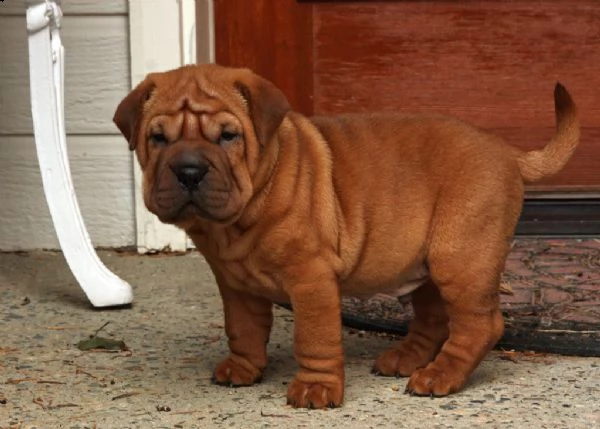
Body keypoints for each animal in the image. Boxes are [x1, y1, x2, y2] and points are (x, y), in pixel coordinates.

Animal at [112, 63, 576, 408]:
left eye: (228, 136)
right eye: (157, 138)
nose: (189, 170)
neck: (241, 218)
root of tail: (506, 151)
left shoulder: (310, 278)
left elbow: (314, 335)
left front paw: (315, 388)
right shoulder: (235, 284)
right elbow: (242, 328)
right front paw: (243, 368)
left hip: (460, 256)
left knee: (479, 325)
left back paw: (438, 376)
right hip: (424, 261)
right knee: (434, 316)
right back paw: (406, 359)